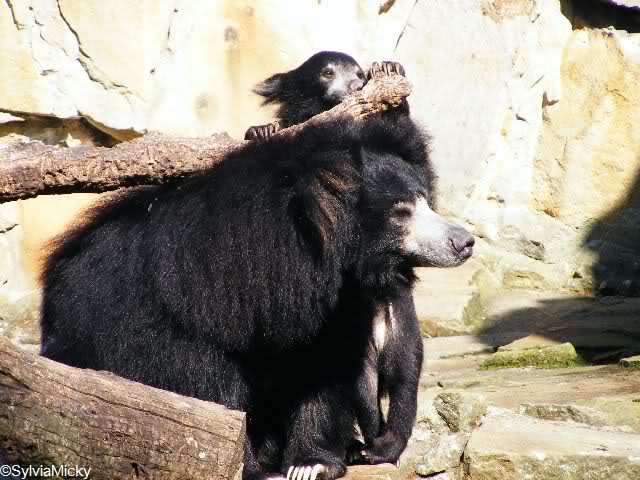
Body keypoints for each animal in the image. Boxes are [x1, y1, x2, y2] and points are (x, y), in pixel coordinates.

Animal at [40, 114, 474, 479]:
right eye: (401, 212)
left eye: (424, 201)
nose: (464, 241)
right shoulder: (179, 317)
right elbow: (205, 382)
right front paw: (247, 465)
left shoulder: (324, 309)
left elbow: (320, 369)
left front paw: (310, 464)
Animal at [245, 52, 431, 465]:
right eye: (327, 72)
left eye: (358, 72)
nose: (355, 85)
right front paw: (261, 130)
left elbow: (418, 174)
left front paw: (391, 73)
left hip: (393, 317)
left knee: (402, 371)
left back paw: (381, 448)